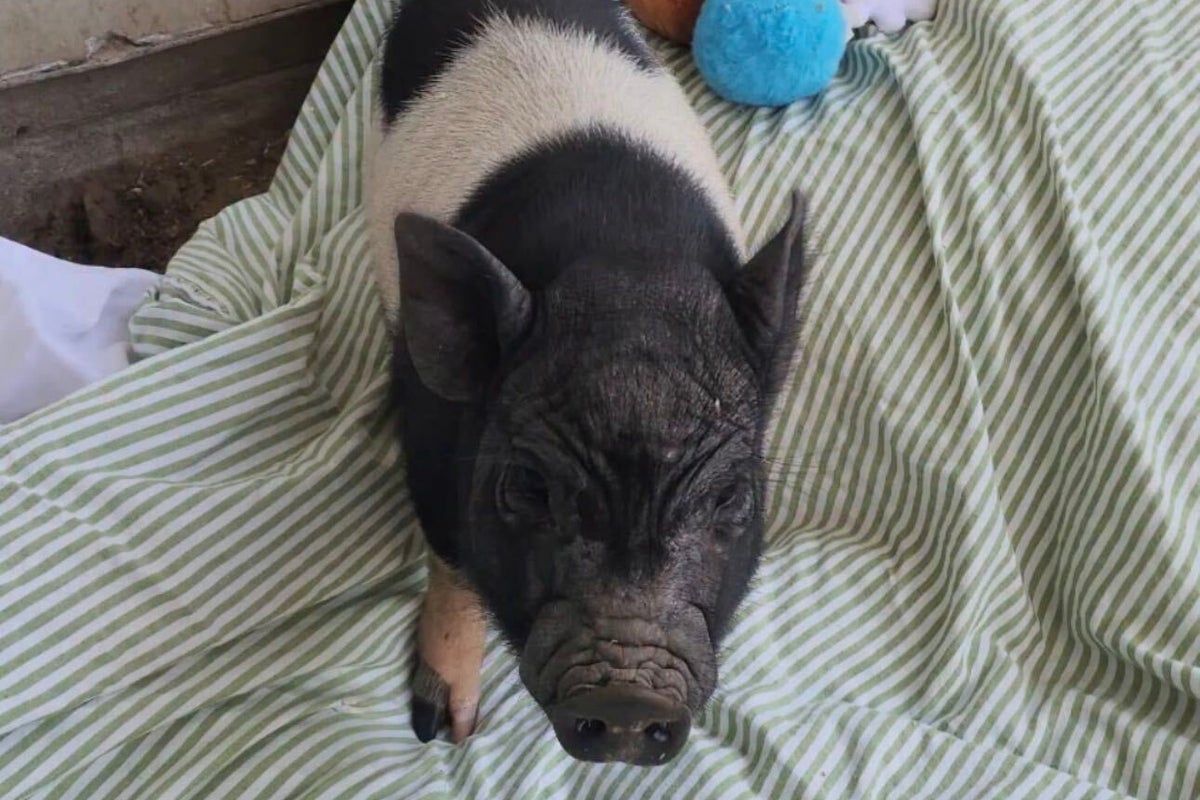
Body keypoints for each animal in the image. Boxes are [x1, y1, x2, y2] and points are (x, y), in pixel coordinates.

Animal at [366, 0, 808, 767]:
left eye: (731, 497)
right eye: (526, 487)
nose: (629, 697)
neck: (624, 263)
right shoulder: (423, 432)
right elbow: (451, 562)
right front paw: (443, 730)